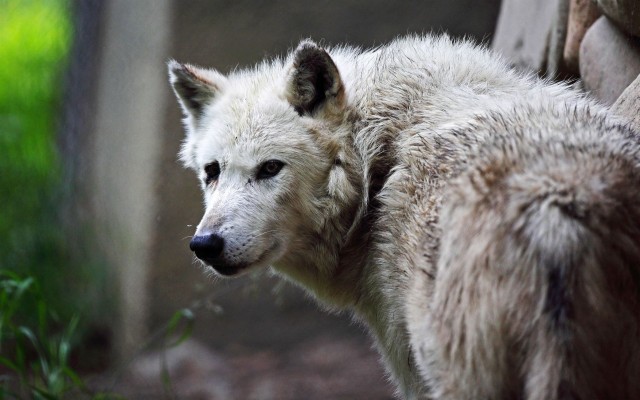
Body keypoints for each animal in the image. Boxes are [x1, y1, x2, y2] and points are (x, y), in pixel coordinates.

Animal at [168, 35, 640, 399]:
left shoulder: (408, 365)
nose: (205, 245)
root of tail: (557, 213)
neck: (376, 161)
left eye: (270, 168)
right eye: (212, 171)